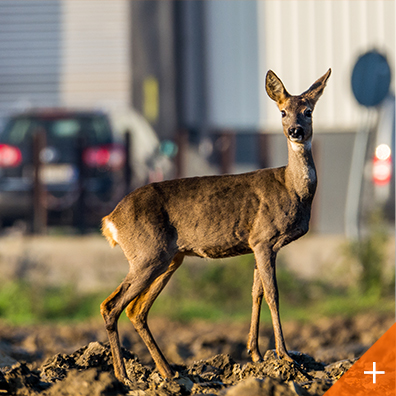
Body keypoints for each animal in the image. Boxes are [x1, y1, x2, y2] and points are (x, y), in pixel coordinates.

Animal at [100, 68, 332, 384]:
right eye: (283, 112)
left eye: (308, 111)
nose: (295, 130)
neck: (292, 188)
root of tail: (111, 220)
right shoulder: (265, 238)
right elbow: (273, 294)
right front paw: (285, 356)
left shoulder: (257, 243)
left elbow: (256, 292)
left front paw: (256, 354)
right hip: (147, 254)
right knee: (112, 306)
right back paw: (125, 377)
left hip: (169, 258)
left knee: (136, 310)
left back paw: (167, 371)